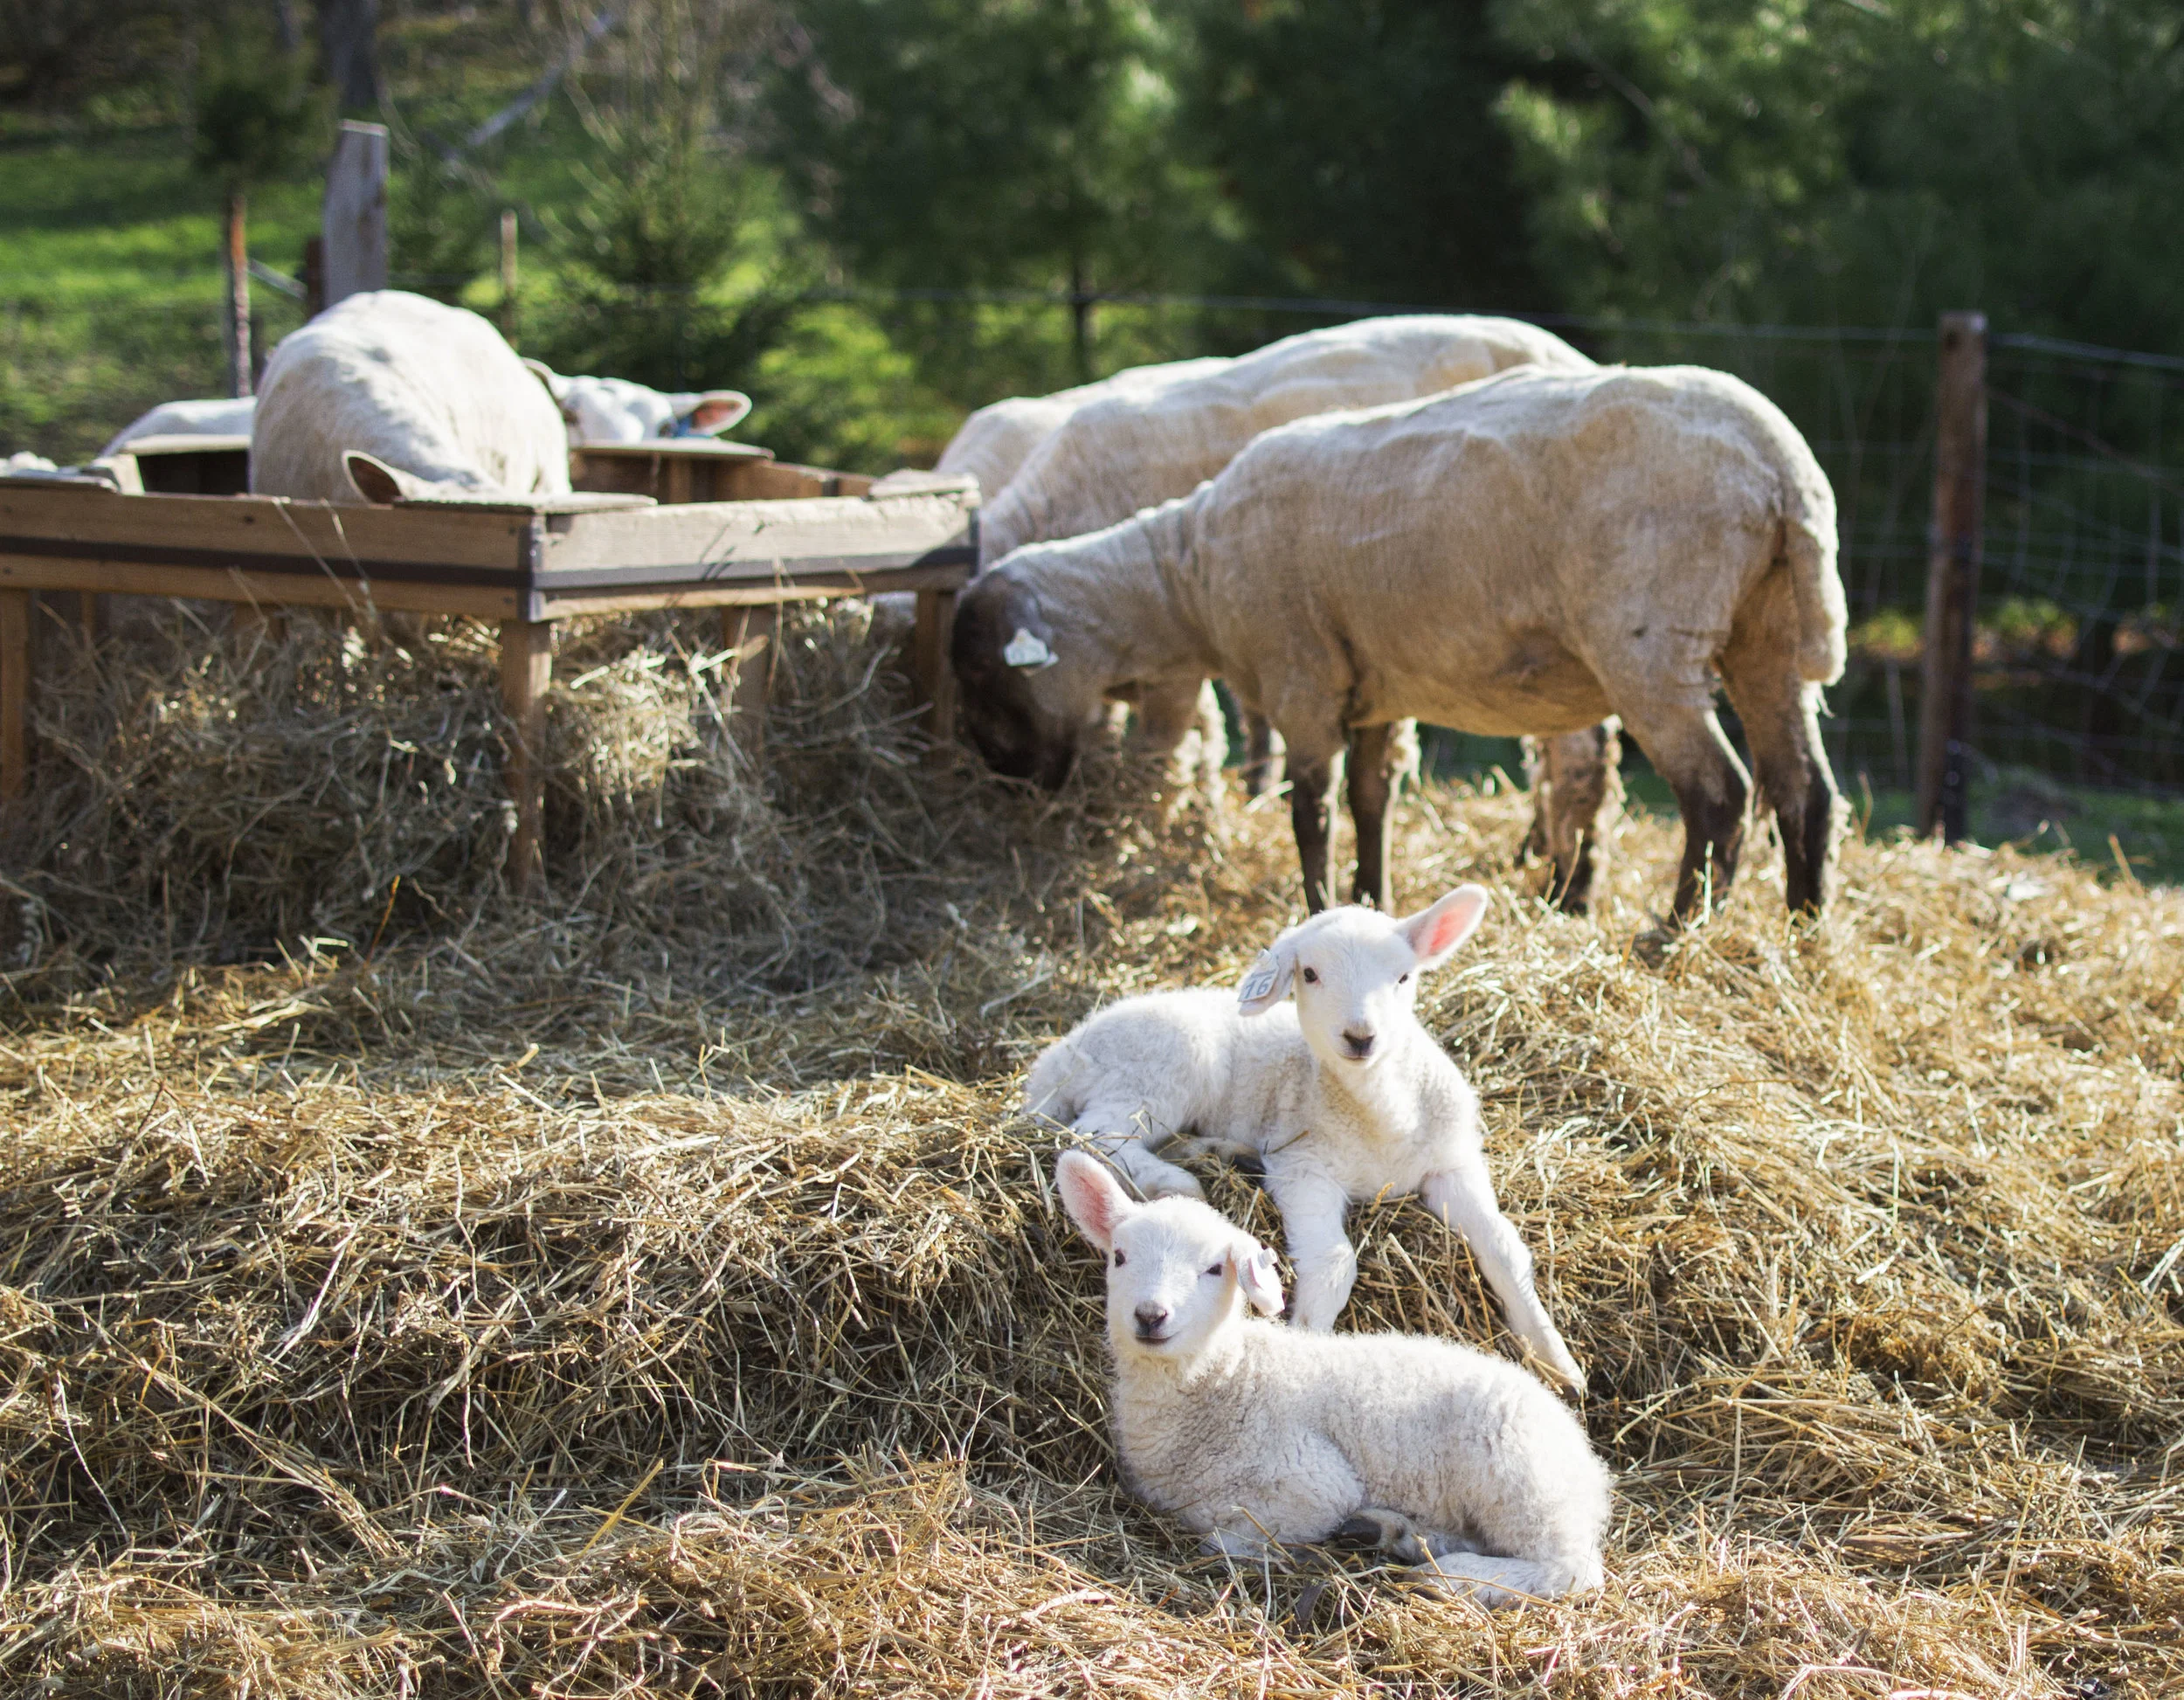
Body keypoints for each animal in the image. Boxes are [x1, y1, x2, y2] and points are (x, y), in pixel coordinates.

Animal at [955, 364, 1847, 923]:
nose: (1014, 791)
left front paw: (1315, 908)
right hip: (1767, 631)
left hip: (1653, 640)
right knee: (1804, 787)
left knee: (1719, 793)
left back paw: (1675, 935)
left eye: (991, 684)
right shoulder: (1375, 689)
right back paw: (1802, 935)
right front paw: (1369, 902)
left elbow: (1311, 810)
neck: (1186, 576)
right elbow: (1369, 801)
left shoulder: (1302, 678)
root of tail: (1784, 471)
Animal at [1026, 885, 1584, 1394]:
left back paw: (1218, 1153)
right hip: (1155, 1071)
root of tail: (1060, 1053)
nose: (1361, 1037)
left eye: (1404, 977)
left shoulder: (1453, 1163)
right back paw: (1175, 1180)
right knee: (1096, 1133)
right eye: (1309, 975)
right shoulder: (1302, 1166)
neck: (1384, 1121)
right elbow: (1335, 1262)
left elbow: (1505, 1248)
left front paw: (1558, 1362)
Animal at [1053, 1149, 1610, 1606]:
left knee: (1570, 1569)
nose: (1151, 1316)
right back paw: (1397, 1534)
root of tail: (1588, 1464)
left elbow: (1225, 1538)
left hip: (1519, 1480)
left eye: (1214, 1269)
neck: (1227, 1381)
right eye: (1119, 1257)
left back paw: (1453, 1578)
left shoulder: (1314, 1485)